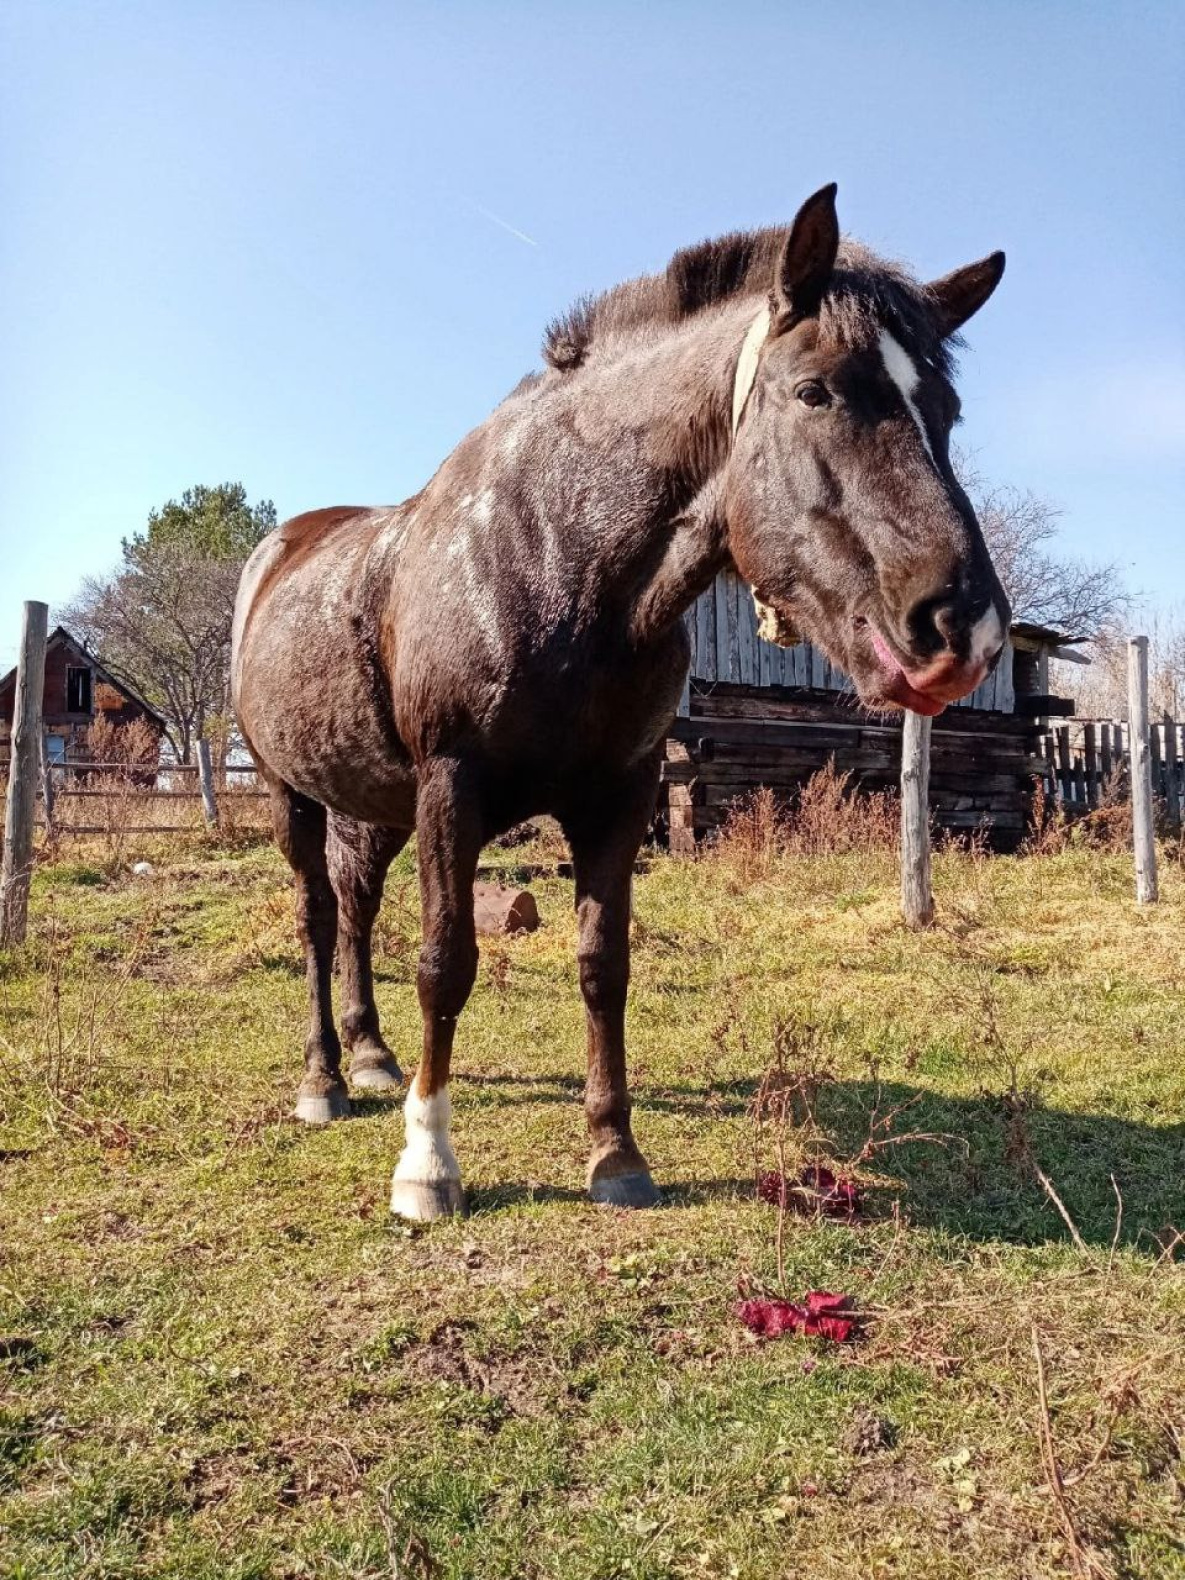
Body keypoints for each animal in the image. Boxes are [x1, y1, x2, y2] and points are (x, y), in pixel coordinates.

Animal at [229, 181, 1011, 1219]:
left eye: (947, 411)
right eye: (815, 391)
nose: (966, 630)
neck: (556, 557)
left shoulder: (619, 794)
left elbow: (603, 963)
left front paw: (615, 1153)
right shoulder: (451, 788)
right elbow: (446, 962)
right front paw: (428, 1165)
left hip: (373, 803)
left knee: (355, 907)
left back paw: (369, 1055)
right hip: (292, 792)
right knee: (318, 917)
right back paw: (323, 1077)